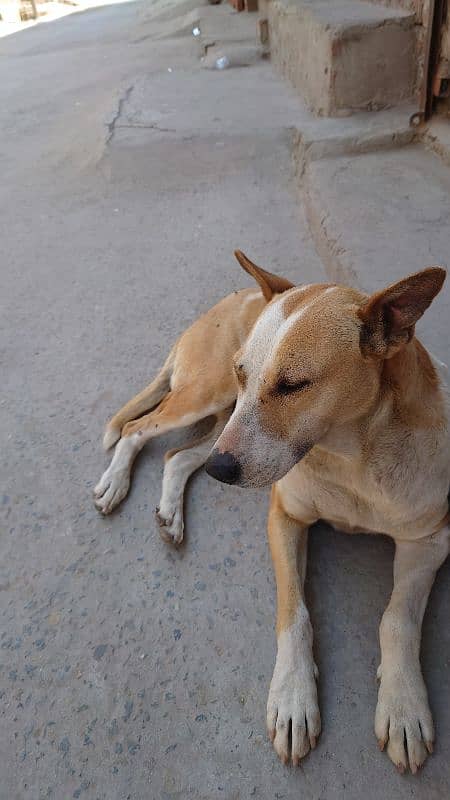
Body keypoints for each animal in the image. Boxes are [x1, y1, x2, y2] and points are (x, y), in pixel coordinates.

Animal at [94, 252, 446, 776]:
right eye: (246, 373)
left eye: (293, 385)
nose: (221, 472)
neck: (351, 461)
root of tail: (235, 295)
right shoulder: (284, 518)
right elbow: (293, 612)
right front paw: (293, 701)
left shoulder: (430, 542)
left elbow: (397, 619)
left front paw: (403, 707)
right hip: (211, 398)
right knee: (139, 430)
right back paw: (116, 482)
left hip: (221, 425)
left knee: (177, 456)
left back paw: (170, 511)